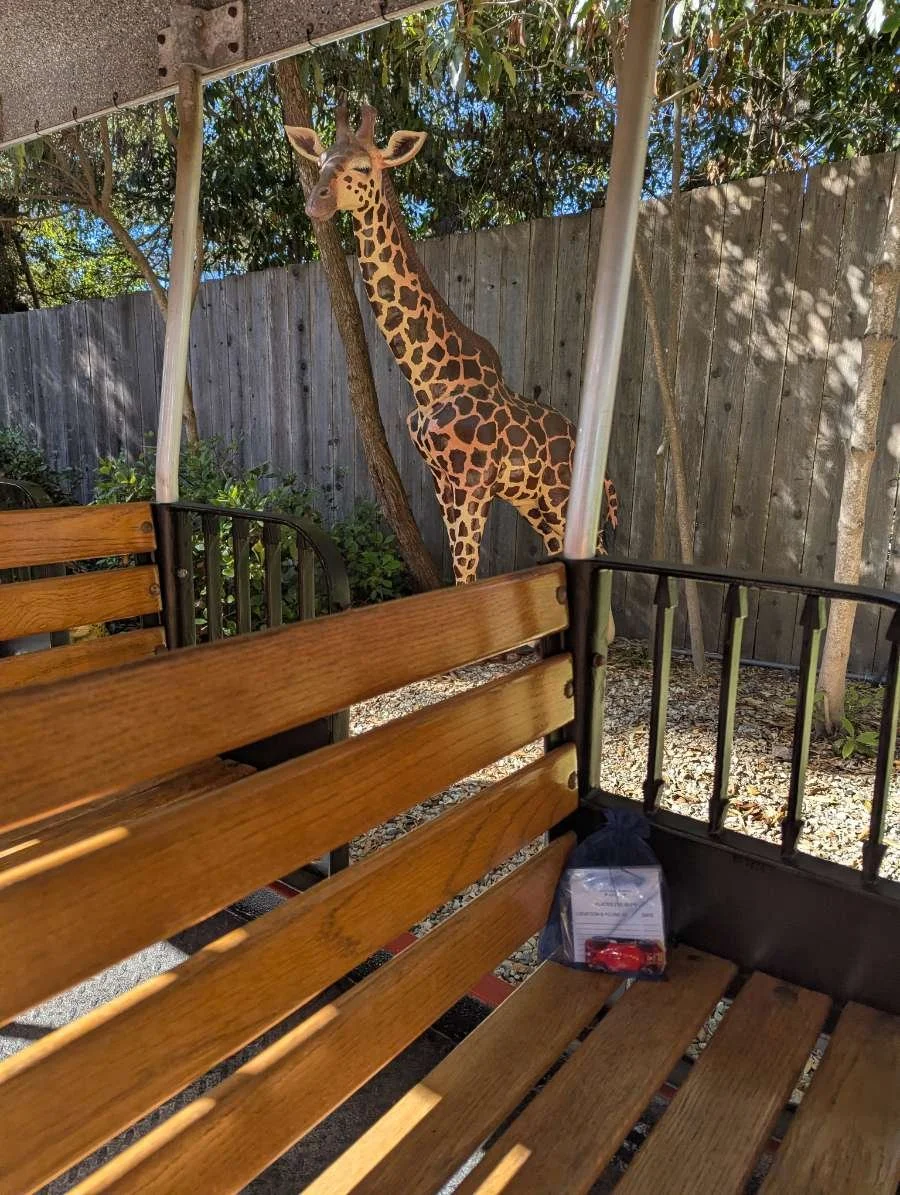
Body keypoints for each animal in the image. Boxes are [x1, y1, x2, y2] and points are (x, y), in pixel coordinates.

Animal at [287, 103, 620, 588]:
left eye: (364, 166)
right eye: (322, 160)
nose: (317, 202)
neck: (429, 382)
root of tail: (608, 477)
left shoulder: (472, 484)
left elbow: (468, 575)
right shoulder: (444, 484)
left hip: (562, 501)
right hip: (538, 505)